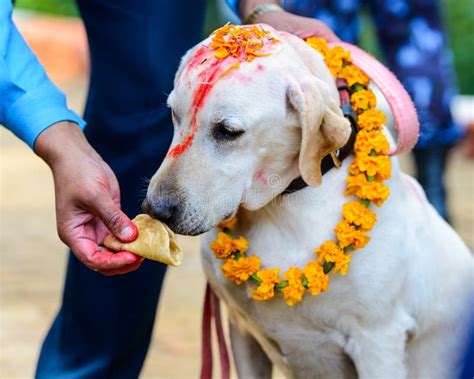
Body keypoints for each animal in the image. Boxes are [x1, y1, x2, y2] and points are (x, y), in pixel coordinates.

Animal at [143, 25, 474, 378]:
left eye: (229, 131)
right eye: (175, 114)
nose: (155, 209)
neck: (279, 206)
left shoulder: (378, 341)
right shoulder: (241, 330)